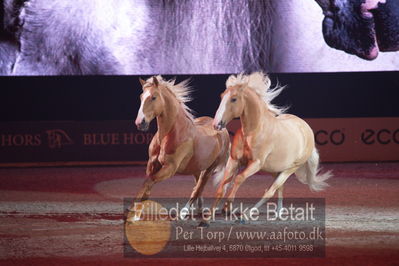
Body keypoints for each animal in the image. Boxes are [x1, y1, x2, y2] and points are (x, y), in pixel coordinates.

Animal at [133, 76, 230, 213]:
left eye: (153, 97)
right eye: (141, 97)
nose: (140, 123)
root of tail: (221, 128)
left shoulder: (170, 168)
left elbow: (148, 183)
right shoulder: (152, 164)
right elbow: (146, 187)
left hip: (210, 168)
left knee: (198, 188)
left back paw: (186, 211)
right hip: (197, 167)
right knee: (197, 187)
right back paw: (198, 208)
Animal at [212, 72, 332, 220]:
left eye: (234, 99)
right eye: (222, 96)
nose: (216, 124)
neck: (253, 131)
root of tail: (306, 128)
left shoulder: (256, 164)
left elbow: (239, 178)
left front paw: (227, 207)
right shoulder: (234, 160)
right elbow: (223, 185)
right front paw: (211, 212)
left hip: (290, 168)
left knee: (271, 191)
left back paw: (249, 214)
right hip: (276, 169)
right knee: (279, 188)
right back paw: (278, 212)